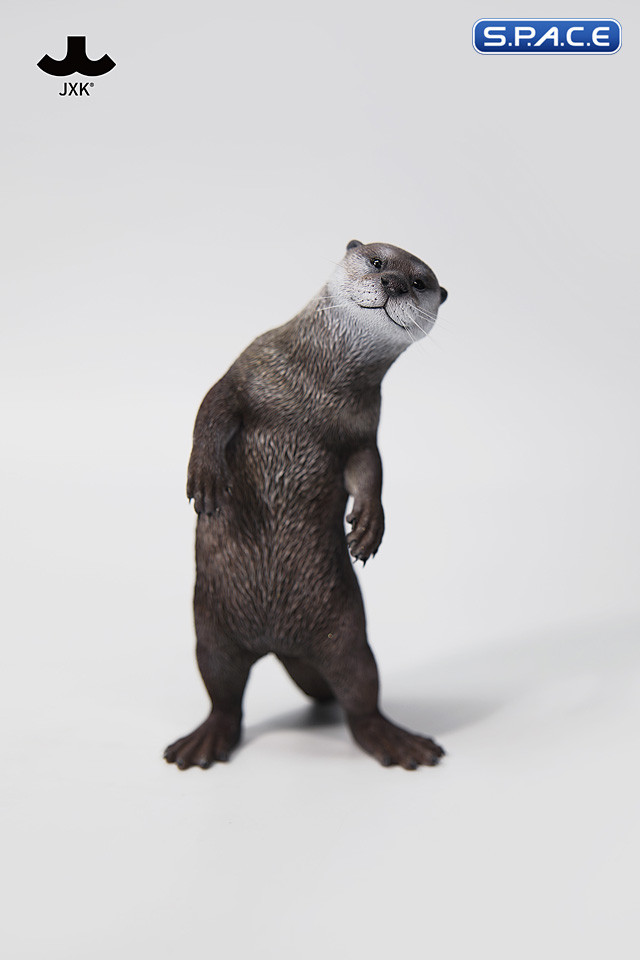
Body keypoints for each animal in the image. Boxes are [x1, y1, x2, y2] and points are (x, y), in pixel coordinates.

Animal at [164, 240, 448, 770]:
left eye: (420, 282)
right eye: (377, 261)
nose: (394, 284)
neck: (317, 388)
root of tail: (280, 646)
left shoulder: (363, 427)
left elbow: (370, 469)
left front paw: (370, 526)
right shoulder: (248, 368)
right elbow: (211, 408)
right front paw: (206, 479)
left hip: (348, 635)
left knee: (361, 695)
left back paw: (396, 741)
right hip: (211, 633)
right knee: (223, 694)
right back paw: (204, 741)